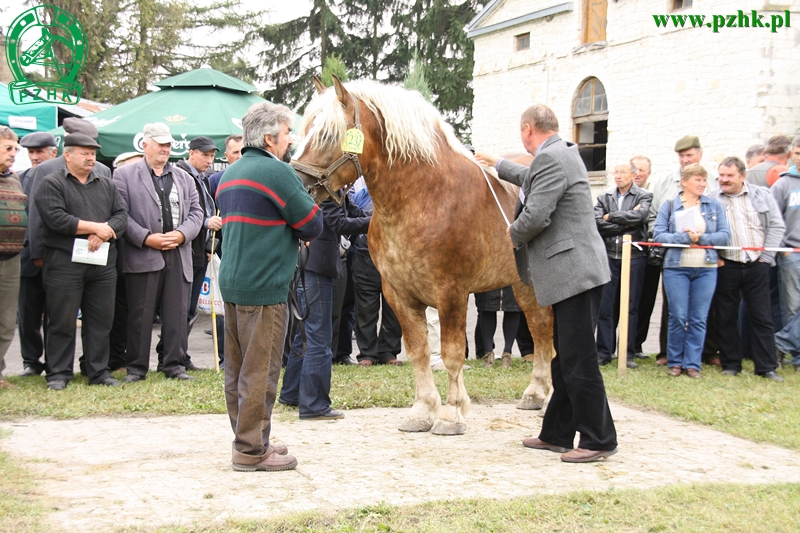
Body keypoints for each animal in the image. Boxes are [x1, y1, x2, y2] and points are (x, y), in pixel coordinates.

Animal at [290, 77, 552, 434]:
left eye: (328, 135)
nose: (295, 183)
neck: (425, 196)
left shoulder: (451, 292)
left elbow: (453, 354)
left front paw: (452, 414)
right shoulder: (398, 293)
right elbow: (418, 352)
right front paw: (422, 411)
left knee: (546, 332)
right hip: (523, 286)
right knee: (540, 331)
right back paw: (535, 394)